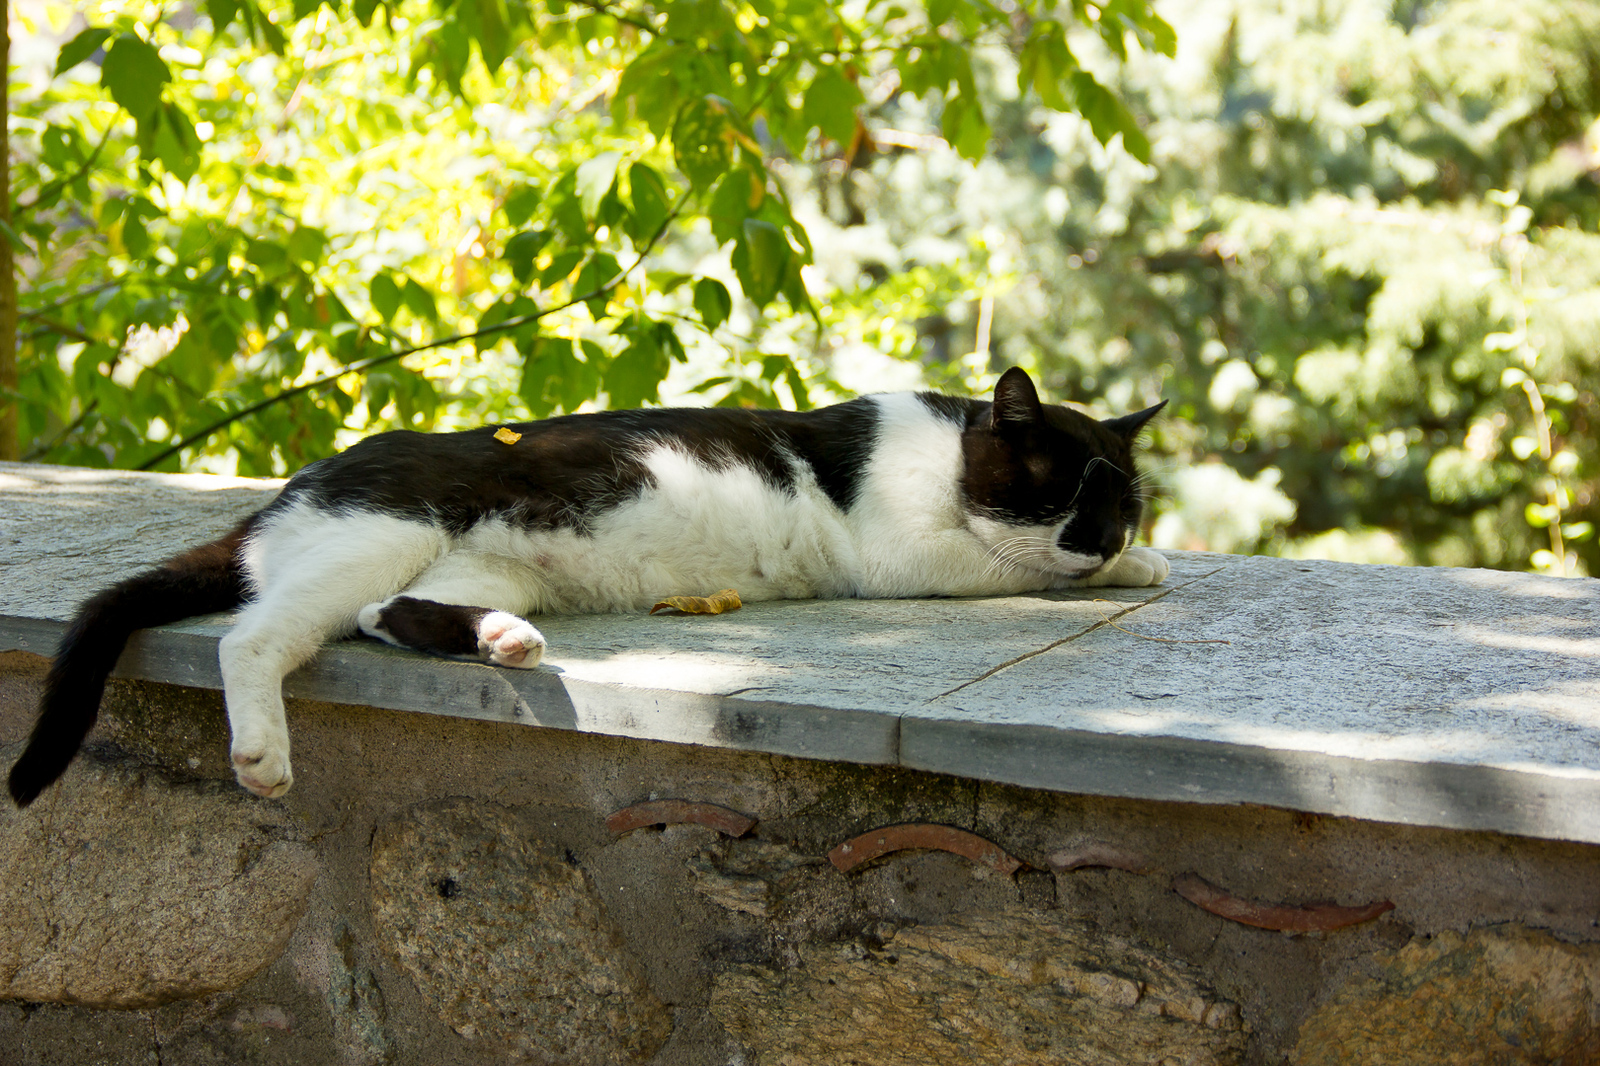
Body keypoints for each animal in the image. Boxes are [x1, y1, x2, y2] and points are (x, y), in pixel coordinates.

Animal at [6, 368, 1171, 806]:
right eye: (1064, 500)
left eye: (1121, 501)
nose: (1103, 537)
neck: (939, 452)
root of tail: (293, 489)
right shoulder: (897, 554)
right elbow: (1001, 563)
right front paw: (1132, 568)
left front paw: (1143, 557)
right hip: (376, 538)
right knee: (253, 639)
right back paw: (263, 755)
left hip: (477, 561)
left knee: (391, 616)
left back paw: (506, 642)